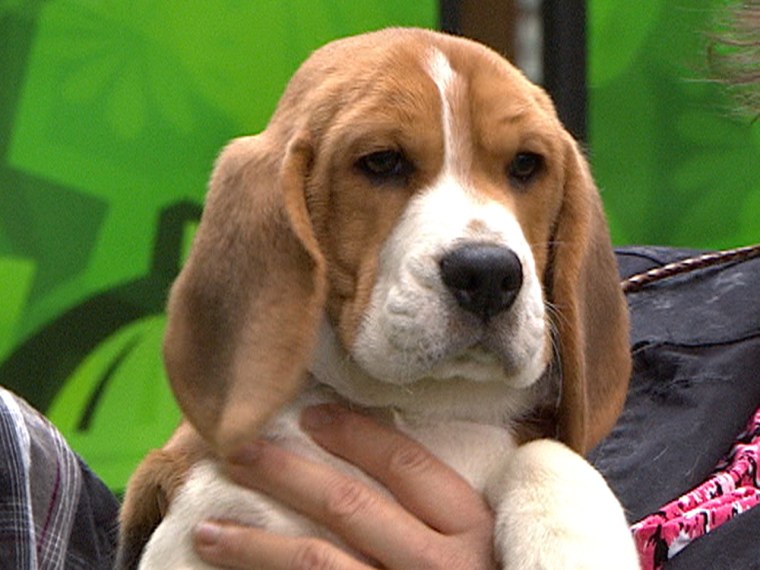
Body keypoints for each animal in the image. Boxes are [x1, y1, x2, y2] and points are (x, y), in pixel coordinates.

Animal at [119, 28, 640, 564]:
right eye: (382, 162)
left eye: (524, 164)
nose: (488, 274)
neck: (424, 415)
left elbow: (548, 454)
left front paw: (575, 548)